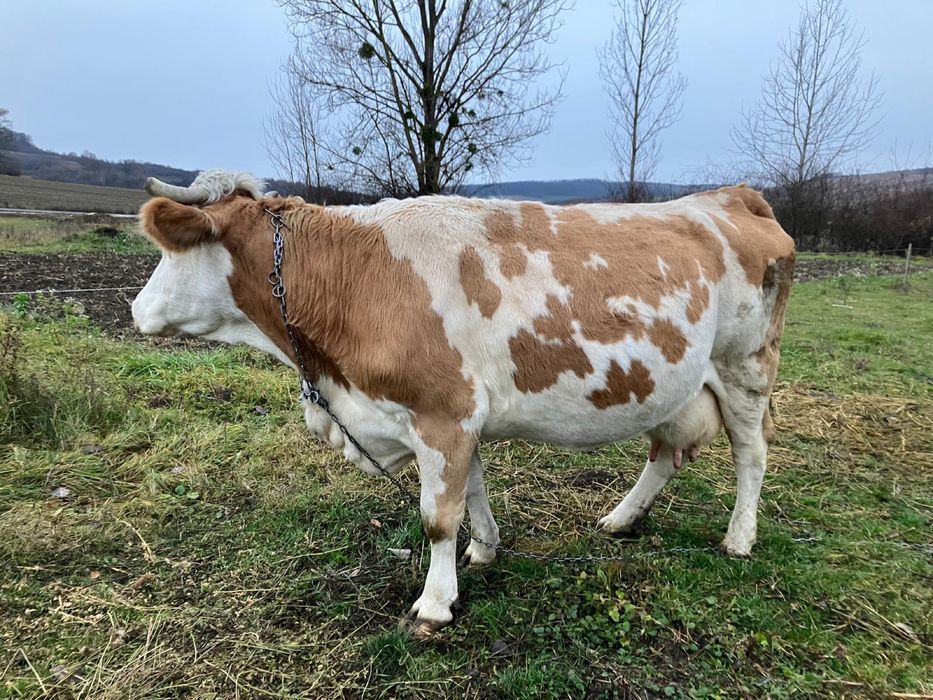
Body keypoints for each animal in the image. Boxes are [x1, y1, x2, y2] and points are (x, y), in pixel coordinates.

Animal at [132, 170, 795, 634]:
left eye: (168, 251)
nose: (135, 309)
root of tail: (731, 196)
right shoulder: (458, 417)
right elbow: (472, 489)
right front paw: (485, 549)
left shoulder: (441, 414)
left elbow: (437, 516)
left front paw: (434, 602)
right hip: (676, 386)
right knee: (663, 454)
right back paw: (621, 518)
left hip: (745, 368)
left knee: (752, 454)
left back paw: (739, 538)